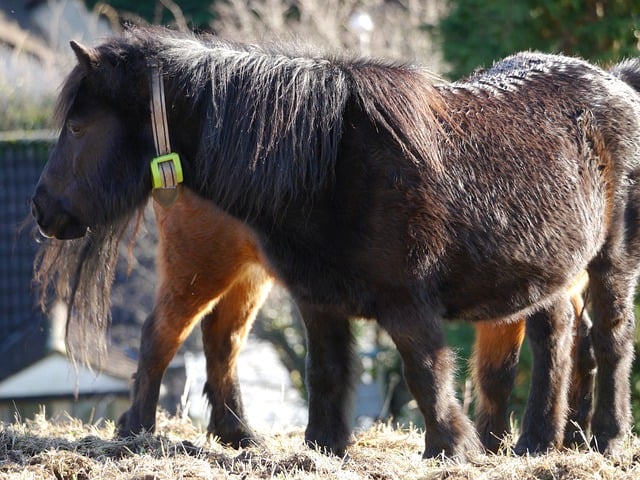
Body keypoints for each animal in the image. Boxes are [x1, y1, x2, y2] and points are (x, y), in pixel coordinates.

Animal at [32, 27, 640, 462]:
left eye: (80, 128)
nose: (42, 208)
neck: (327, 157)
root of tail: (616, 82)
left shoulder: (407, 303)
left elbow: (426, 372)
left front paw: (451, 448)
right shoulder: (319, 300)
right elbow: (325, 373)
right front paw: (324, 448)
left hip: (608, 263)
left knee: (606, 341)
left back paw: (602, 439)